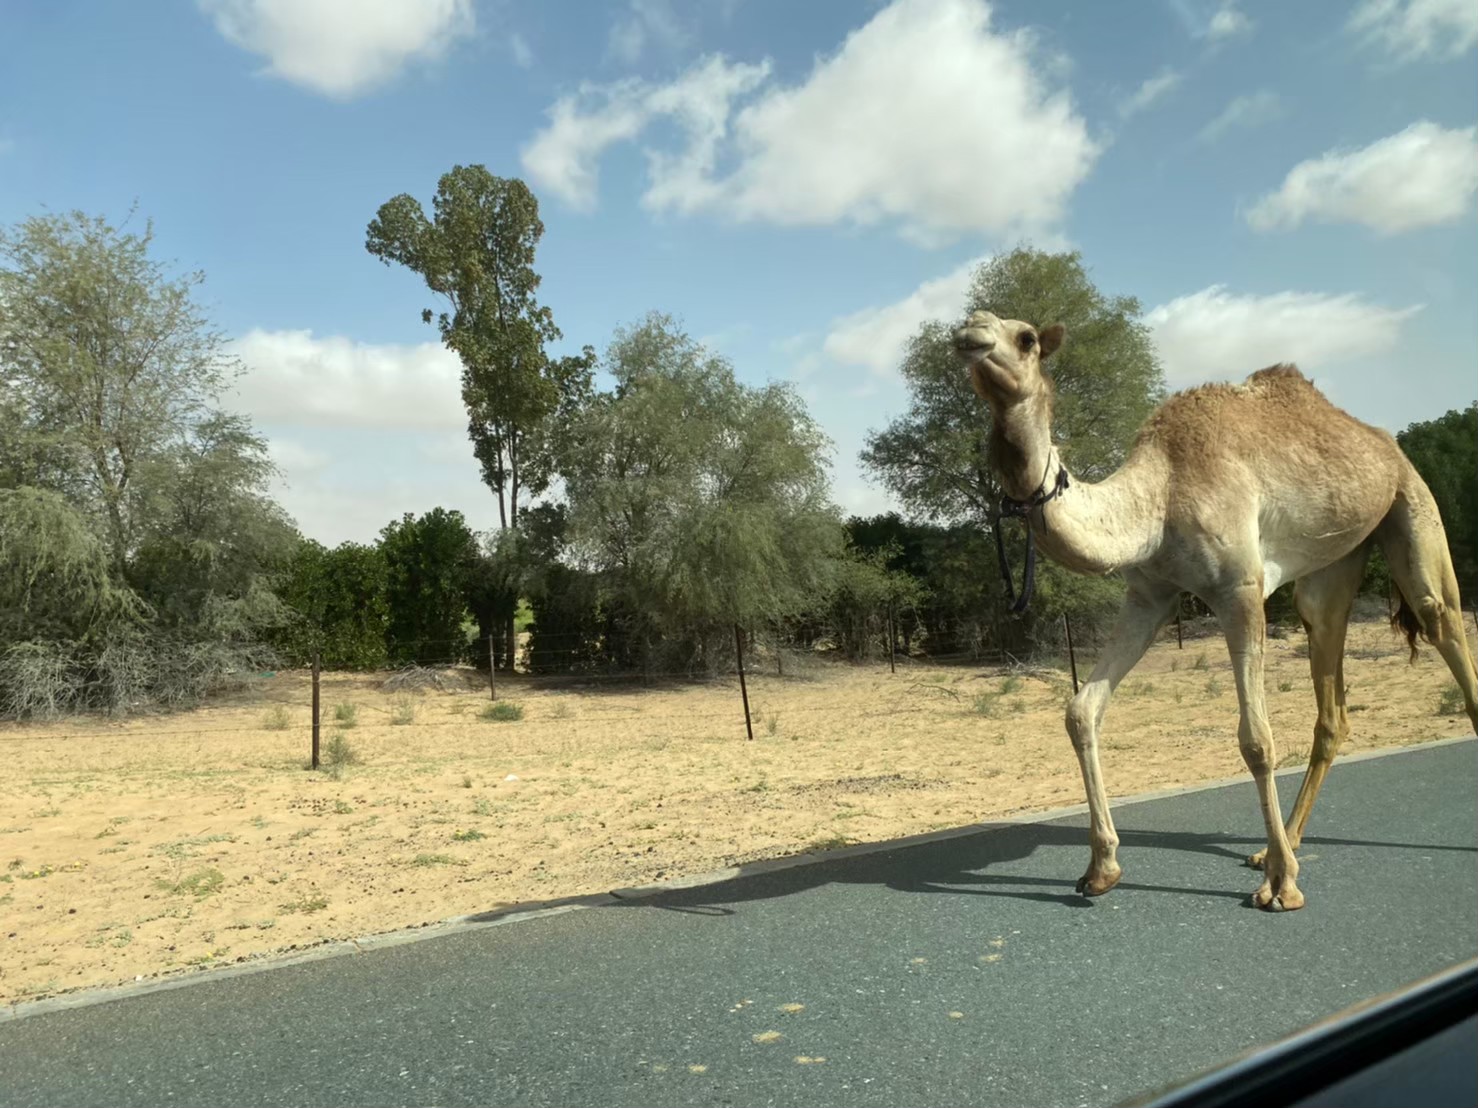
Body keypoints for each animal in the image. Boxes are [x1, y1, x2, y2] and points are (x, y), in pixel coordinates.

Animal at [951, 310, 1472, 910]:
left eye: (1026, 338)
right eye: (969, 320)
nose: (970, 337)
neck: (1158, 497)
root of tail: (1383, 440)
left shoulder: (1239, 589)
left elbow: (1256, 740)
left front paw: (1282, 887)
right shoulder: (1150, 596)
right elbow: (1082, 709)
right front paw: (1101, 868)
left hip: (1411, 501)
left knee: (1441, 618)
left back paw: (1280, 859)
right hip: (1335, 562)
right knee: (1331, 693)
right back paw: (1275, 847)